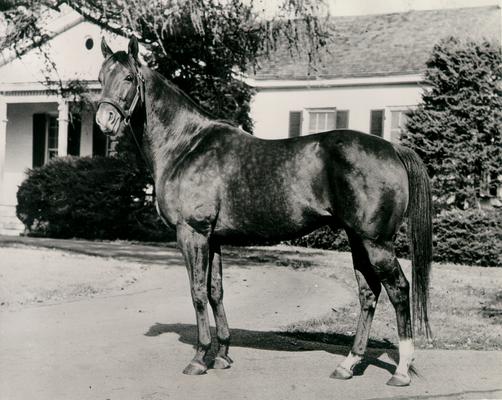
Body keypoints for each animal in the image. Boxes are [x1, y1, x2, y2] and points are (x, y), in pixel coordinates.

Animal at [97, 36, 432, 386]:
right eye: (100, 77)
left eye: (129, 78)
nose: (104, 121)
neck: (187, 146)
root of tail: (393, 148)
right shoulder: (213, 239)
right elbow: (216, 291)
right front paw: (222, 354)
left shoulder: (193, 233)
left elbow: (198, 292)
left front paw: (199, 358)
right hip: (358, 240)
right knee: (368, 293)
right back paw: (348, 364)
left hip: (376, 242)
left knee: (398, 290)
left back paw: (401, 370)